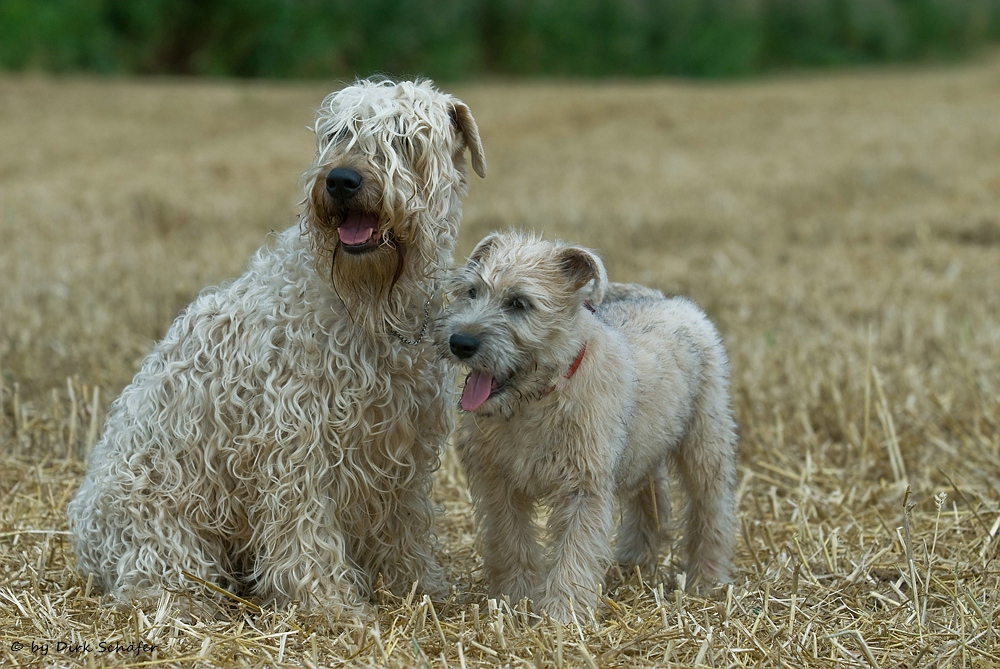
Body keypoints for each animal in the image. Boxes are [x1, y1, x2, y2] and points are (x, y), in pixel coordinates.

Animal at [64, 75, 486, 612]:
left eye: (403, 138)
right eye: (337, 134)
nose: (341, 180)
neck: (369, 307)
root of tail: (84, 531)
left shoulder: (403, 448)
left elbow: (404, 527)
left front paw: (417, 588)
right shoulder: (297, 439)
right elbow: (304, 531)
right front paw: (329, 605)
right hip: (158, 514)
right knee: (153, 573)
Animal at [436, 232, 736, 624]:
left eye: (519, 303)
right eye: (471, 292)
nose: (460, 342)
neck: (536, 398)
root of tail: (667, 299)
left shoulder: (584, 487)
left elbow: (573, 552)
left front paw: (561, 615)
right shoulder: (498, 483)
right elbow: (511, 542)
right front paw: (516, 599)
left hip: (706, 442)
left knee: (711, 510)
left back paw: (708, 580)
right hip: (642, 446)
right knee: (651, 497)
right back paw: (634, 561)